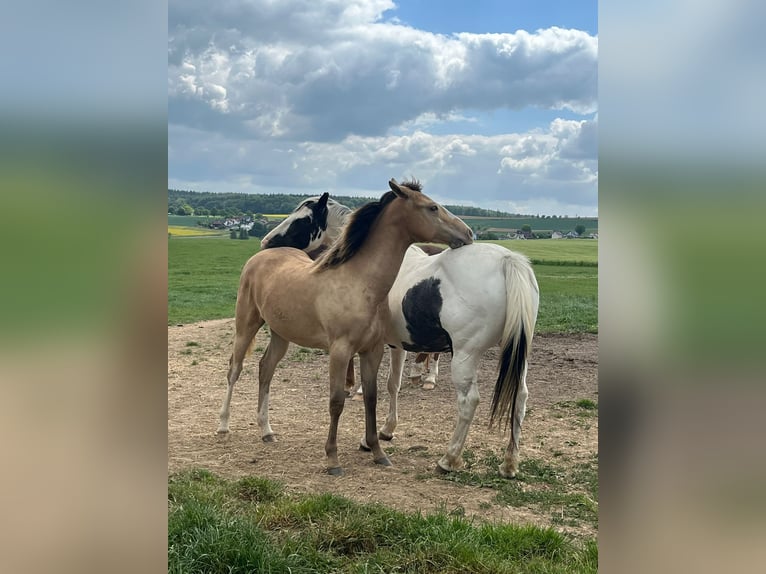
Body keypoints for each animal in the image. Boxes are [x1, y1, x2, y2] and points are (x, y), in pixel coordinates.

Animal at [217, 179, 474, 475]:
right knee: (234, 370)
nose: (468, 232)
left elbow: (372, 398)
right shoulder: (340, 351)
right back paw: (223, 426)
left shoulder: (372, 350)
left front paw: (377, 452)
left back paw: (266, 431)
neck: (360, 283)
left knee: (265, 369)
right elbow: (336, 401)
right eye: (431, 207)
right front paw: (332, 459)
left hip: (281, 335)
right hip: (246, 325)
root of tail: (260, 258)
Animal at [260, 191, 539, 478]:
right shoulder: (396, 345)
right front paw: (384, 432)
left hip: (465, 356)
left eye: (303, 220)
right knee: (521, 397)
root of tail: (508, 261)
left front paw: (376, 433)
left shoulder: (381, 345)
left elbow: (384, 386)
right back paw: (509, 463)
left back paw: (448, 459)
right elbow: (393, 384)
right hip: (517, 353)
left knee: (469, 401)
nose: (266, 243)